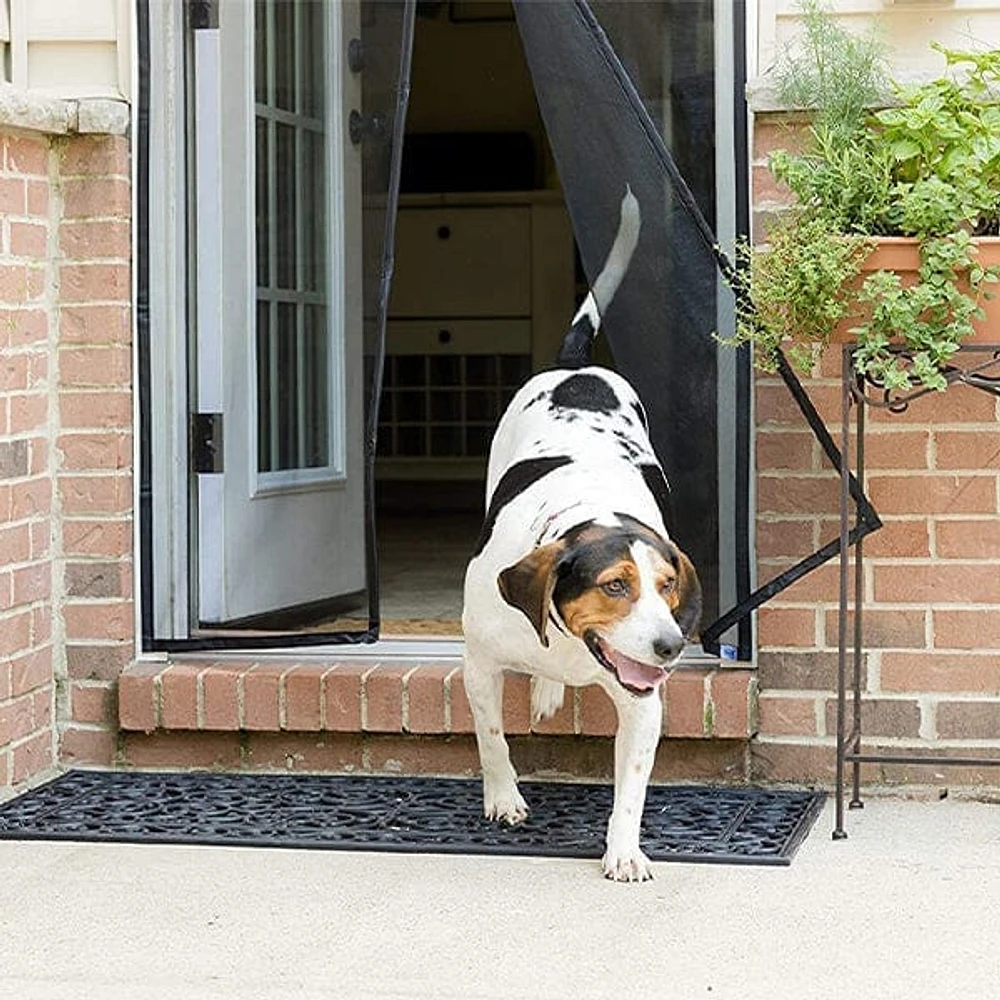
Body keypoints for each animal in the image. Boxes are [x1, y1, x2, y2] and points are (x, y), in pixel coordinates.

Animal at [462, 188, 704, 884]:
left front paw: (624, 851)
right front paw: (504, 799)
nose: (672, 647)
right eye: (614, 586)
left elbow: (632, 788)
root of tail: (577, 367)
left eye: (668, 586)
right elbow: (492, 737)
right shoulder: (478, 662)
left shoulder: (643, 704)